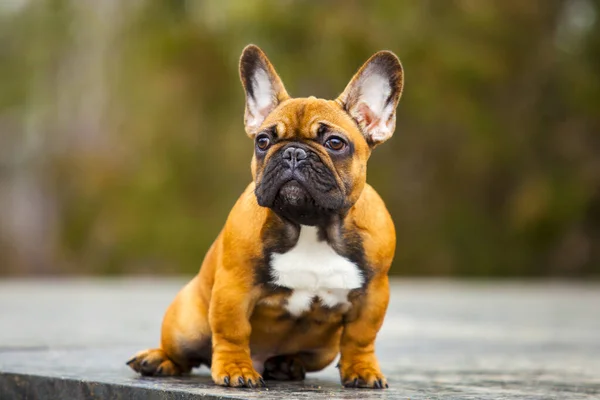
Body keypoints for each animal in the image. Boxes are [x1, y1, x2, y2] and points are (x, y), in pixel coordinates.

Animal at [129, 45, 406, 390]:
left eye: (335, 143)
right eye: (263, 141)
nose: (293, 153)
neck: (310, 223)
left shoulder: (373, 295)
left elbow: (360, 337)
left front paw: (363, 369)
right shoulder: (234, 288)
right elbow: (233, 332)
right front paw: (236, 368)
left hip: (323, 350)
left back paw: (286, 365)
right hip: (187, 326)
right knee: (185, 352)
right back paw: (157, 359)